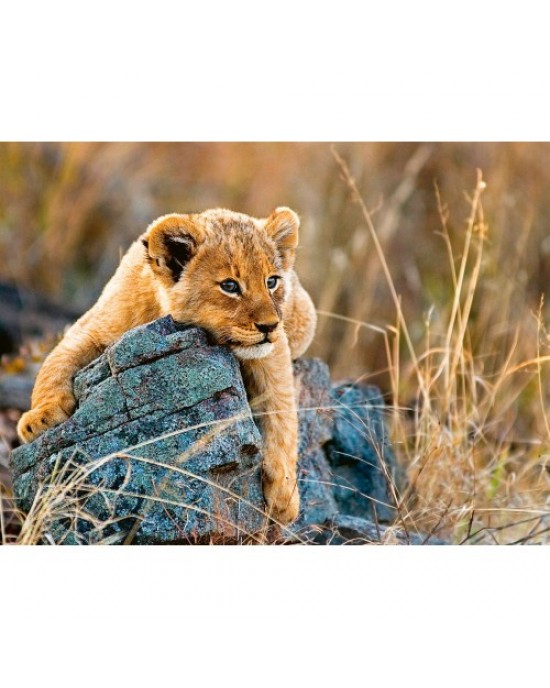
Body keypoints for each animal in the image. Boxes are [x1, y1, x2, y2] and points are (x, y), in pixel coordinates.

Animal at [17, 207, 317, 524]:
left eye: (272, 281)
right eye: (230, 286)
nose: (269, 326)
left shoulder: (273, 351)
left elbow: (281, 412)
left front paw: (284, 495)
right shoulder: (92, 326)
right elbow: (54, 363)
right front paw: (39, 419)